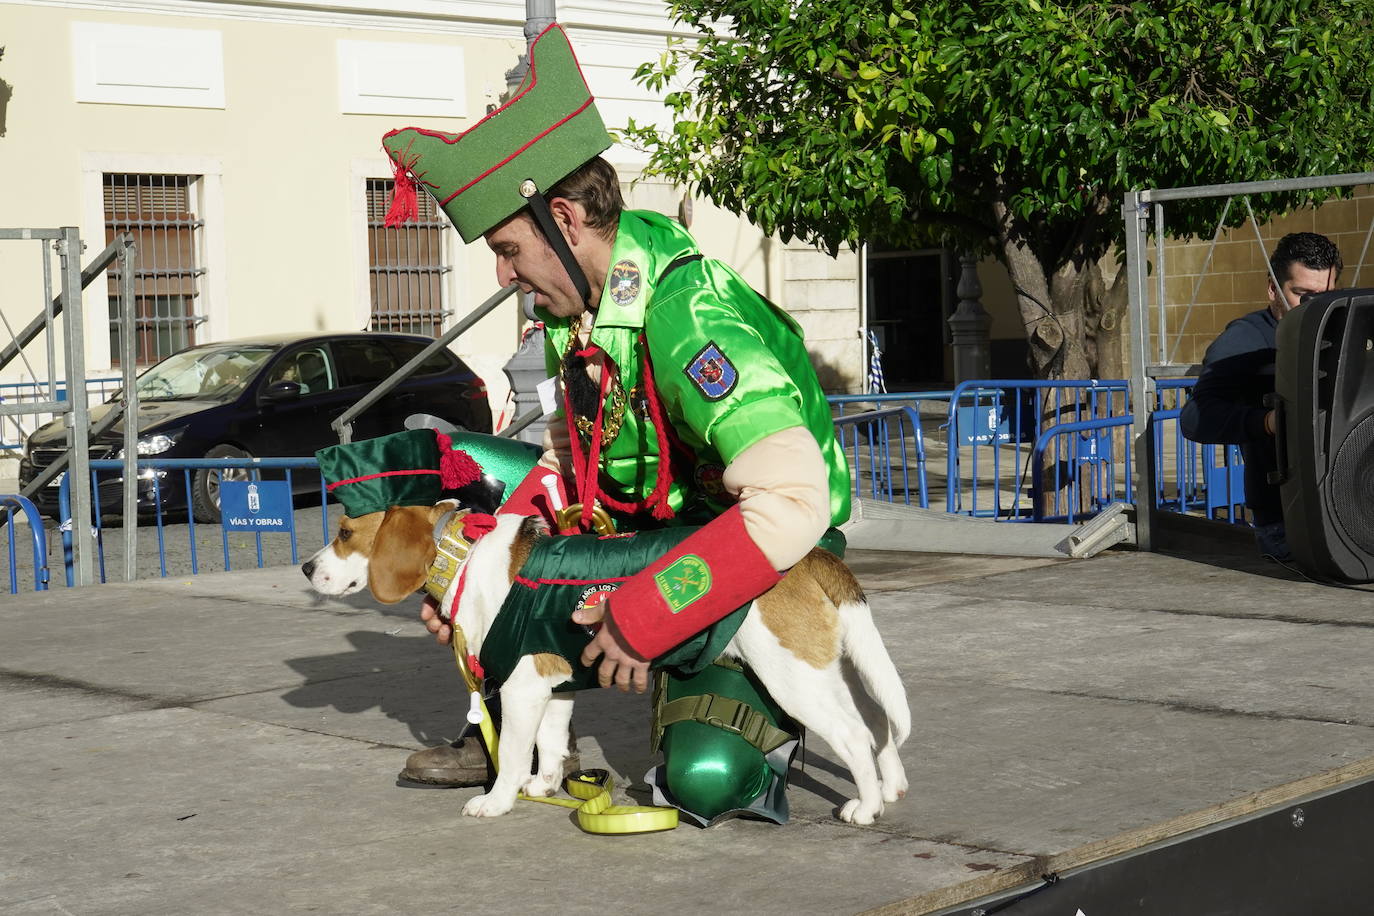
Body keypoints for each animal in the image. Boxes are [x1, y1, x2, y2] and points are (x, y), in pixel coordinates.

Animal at [309, 505, 912, 829]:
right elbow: (550, 747)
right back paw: (891, 786)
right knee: (877, 723)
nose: (306, 567)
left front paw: (499, 801)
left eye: (345, 533)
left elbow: (511, 754)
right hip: (823, 669)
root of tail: (811, 554)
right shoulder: (553, 688)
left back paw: (866, 807)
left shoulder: (522, 689)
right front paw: (545, 786)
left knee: (854, 735)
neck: (464, 555)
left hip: (790, 676)